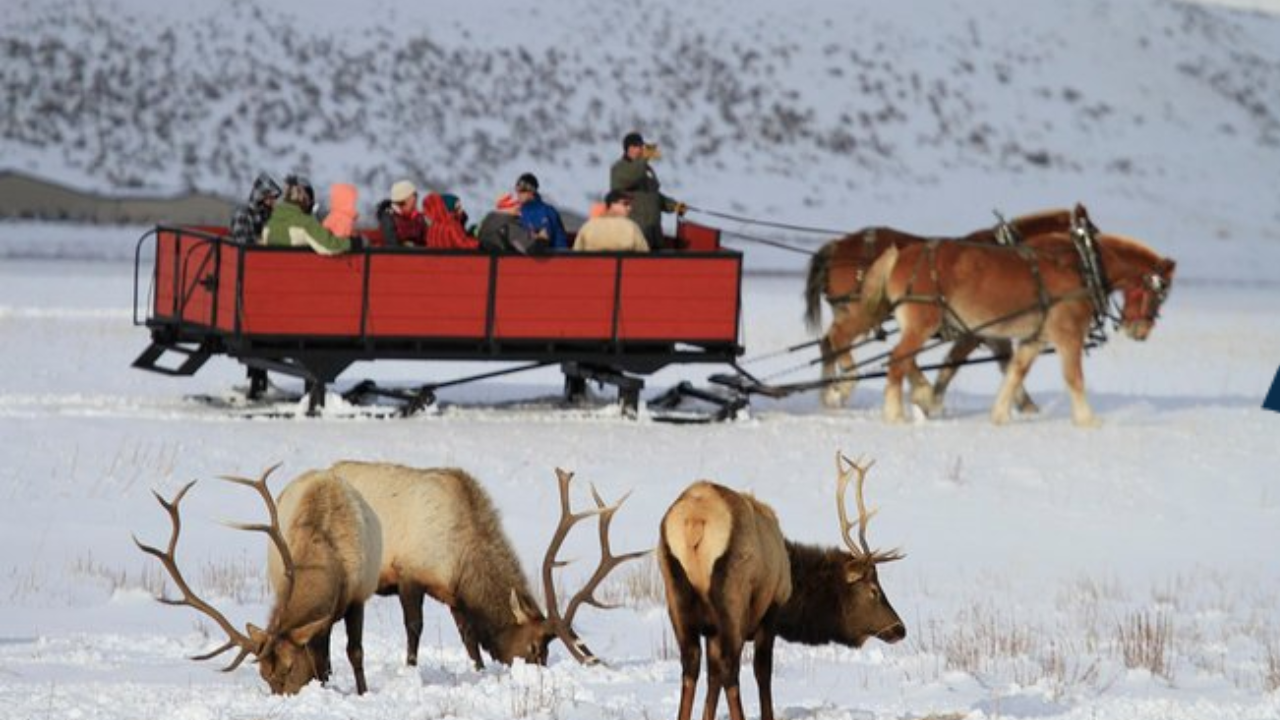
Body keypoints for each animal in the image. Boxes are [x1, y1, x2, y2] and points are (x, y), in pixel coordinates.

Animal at [134, 464, 382, 695]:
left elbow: (354, 652)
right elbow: (322, 662)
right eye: (263, 675)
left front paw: (363, 692)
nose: (283, 698)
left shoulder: (358, 596)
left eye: (290, 667)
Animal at [328, 461, 646, 669]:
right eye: (533, 646)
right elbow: (414, 627)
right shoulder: (410, 573)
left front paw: (480, 670)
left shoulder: (455, 595)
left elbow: (469, 638)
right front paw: (411, 667)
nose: (536, 671)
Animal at [657, 453, 906, 720]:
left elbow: (712, 678)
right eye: (873, 590)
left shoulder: (713, 630)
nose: (900, 629)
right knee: (730, 668)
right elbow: (761, 671)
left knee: (691, 665)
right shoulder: (772, 609)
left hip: (675, 594)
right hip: (733, 599)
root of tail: (695, 522)